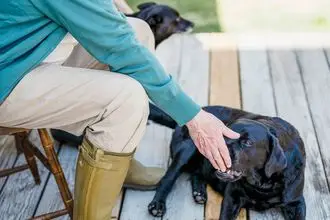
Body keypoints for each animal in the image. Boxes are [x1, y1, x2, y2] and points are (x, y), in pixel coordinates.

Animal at [148, 104, 306, 220]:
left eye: (247, 142)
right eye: (223, 135)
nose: (219, 147)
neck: (262, 185)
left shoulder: (296, 203)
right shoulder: (232, 197)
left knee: (197, 173)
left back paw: (199, 193)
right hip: (186, 150)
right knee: (168, 178)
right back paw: (157, 205)